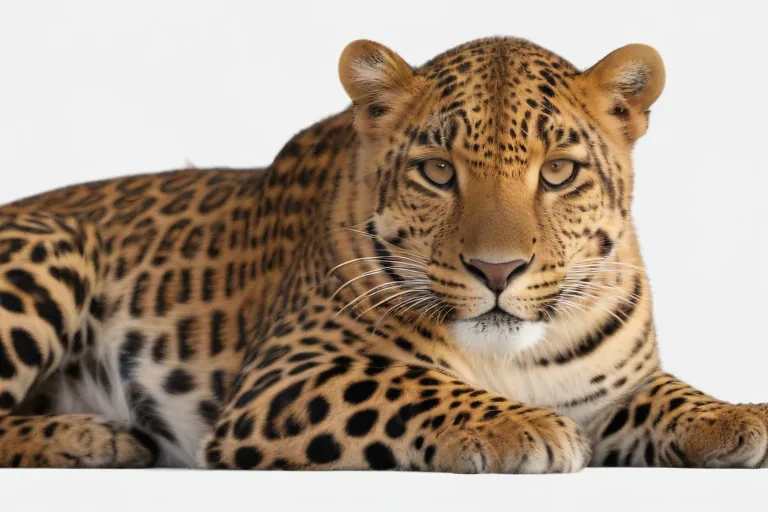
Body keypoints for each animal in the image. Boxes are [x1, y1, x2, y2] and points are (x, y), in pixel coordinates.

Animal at [0, 36, 766, 472]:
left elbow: (668, 391)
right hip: (55, 243)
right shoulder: (285, 376)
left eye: (557, 172)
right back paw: (97, 441)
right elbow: (409, 385)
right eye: (437, 172)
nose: (496, 271)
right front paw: (521, 425)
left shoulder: (613, 387)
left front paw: (735, 416)